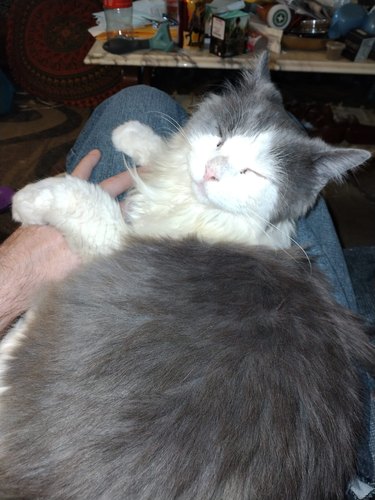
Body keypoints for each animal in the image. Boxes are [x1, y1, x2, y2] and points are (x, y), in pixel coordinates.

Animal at [0, 52, 374, 498]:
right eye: (221, 138)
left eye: (252, 173)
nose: (212, 171)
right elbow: (169, 147)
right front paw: (134, 134)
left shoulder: (123, 237)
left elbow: (86, 201)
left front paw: (29, 200)